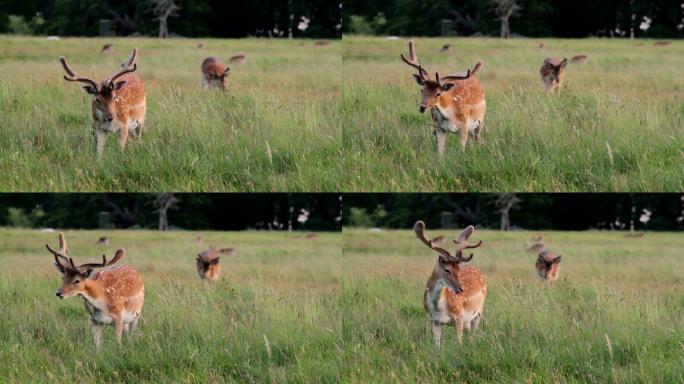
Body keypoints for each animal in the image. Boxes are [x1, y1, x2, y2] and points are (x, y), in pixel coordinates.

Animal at [414, 220, 488, 350]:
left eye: (458, 269)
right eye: (447, 270)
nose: (461, 289)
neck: (439, 308)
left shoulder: (459, 316)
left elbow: (459, 344)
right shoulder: (434, 320)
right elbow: (437, 347)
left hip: (478, 312)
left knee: (473, 335)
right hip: (467, 320)